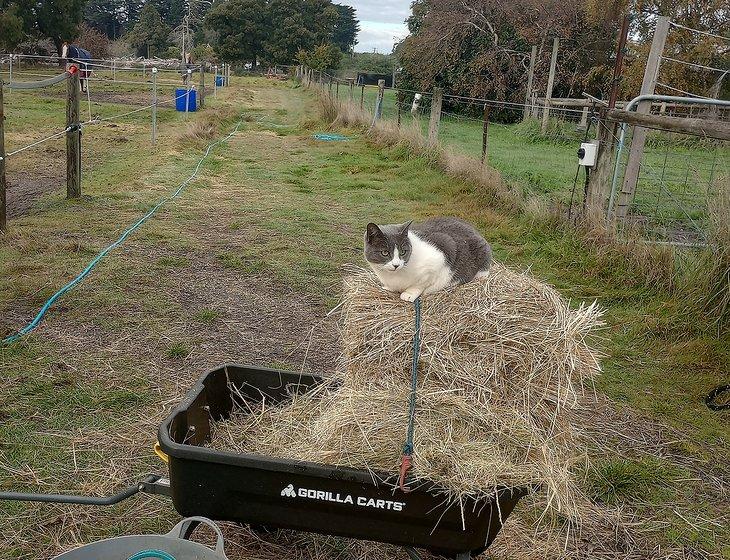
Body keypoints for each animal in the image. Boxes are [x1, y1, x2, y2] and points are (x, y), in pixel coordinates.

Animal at [362, 218, 492, 302]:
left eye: (403, 252)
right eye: (385, 253)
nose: (396, 265)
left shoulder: (444, 251)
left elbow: (421, 283)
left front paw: (409, 294)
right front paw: (388, 288)